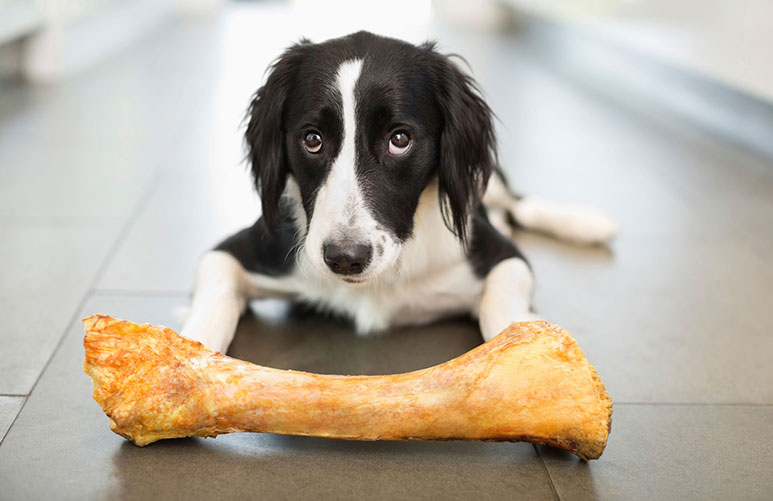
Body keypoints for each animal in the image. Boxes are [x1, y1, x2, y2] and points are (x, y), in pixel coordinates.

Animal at [179, 31, 616, 354]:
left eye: (400, 139)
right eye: (312, 140)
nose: (345, 258)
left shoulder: (504, 257)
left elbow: (502, 303)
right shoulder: (236, 251)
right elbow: (212, 300)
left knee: (519, 203)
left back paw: (586, 223)